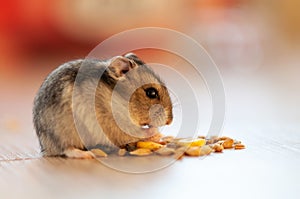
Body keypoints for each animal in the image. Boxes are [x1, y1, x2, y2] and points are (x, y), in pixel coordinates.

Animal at [32, 52, 173, 159]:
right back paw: (88, 155)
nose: (169, 121)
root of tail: (45, 147)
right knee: (67, 149)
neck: (119, 100)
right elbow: (135, 132)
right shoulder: (111, 124)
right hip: (64, 132)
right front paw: (157, 134)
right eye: (151, 93)